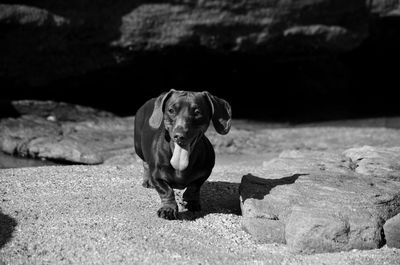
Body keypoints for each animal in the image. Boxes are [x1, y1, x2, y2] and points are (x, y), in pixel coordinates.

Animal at [134, 89, 231, 219]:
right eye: (171, 110)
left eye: (197, 112)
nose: (179, 136)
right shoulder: (156, 176)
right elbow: (166, 191)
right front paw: (168, 209)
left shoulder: (205, 173)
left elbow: (194, 187)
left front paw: (191, 202)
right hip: (138, 147)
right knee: (145, 163)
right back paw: (147, 181)